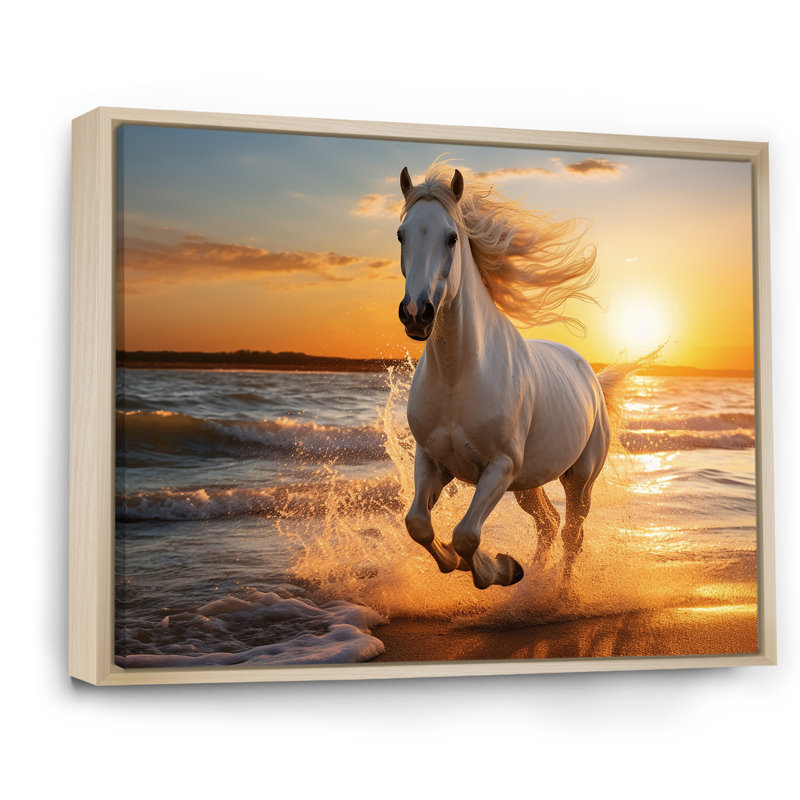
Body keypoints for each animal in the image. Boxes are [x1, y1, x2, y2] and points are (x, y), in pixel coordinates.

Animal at [396, 160, 619, 590]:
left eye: (452, 237)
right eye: (401, 234)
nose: (417, 313)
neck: (458, 376)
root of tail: (590, 376)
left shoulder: (500, 467)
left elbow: (466, 535)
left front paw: (500, 569)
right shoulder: (432, 460)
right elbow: (419, 524)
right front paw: (480, 565)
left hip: (579, 479)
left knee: (572, 533)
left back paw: (559, 593)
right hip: (529, 484)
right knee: (549, 523)